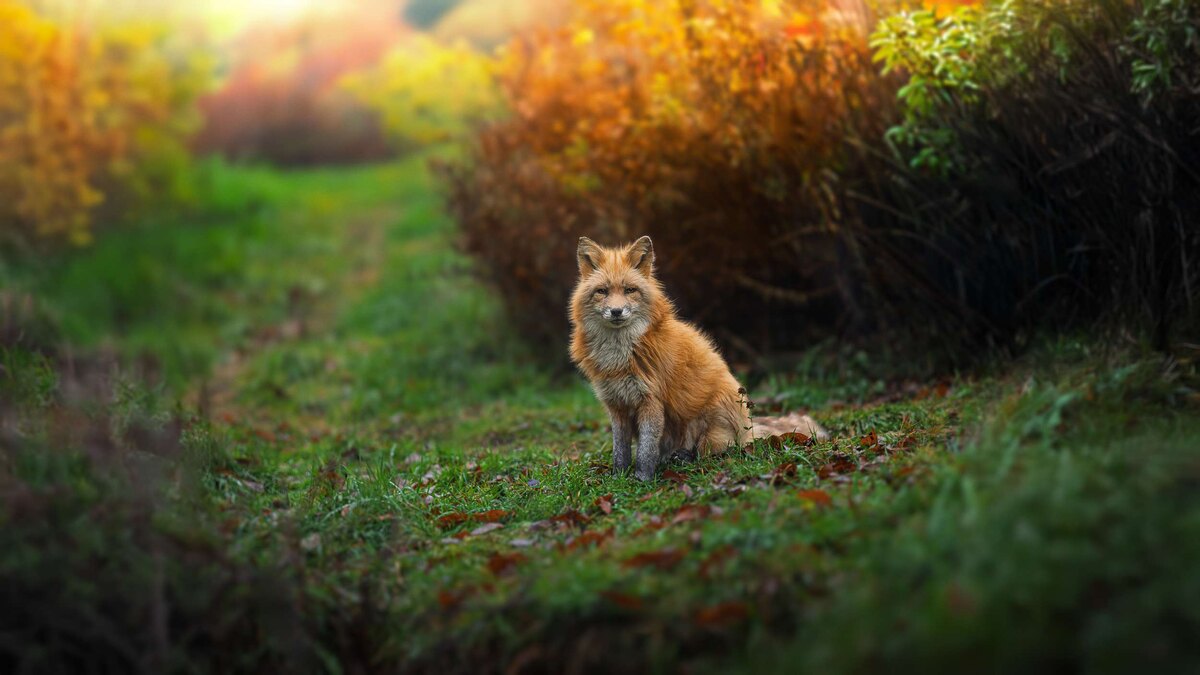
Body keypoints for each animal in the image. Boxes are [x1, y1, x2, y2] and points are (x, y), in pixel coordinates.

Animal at [570, 235, 825, 481]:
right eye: (602, 292)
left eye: (630, 290)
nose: (616, 312)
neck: (619, 357)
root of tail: (748, 428)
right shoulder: (617, 405)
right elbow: (620, 451)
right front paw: (618, 477)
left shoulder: (651, 401)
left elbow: (645, 450)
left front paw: (642, 480)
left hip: (707, 426)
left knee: (720, 452)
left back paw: (685, 458)